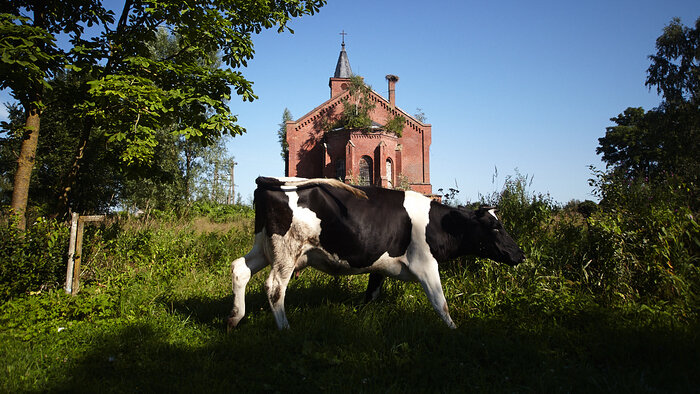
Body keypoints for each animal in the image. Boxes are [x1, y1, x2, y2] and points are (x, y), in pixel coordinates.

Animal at [230, 176, 524, 330]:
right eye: (495, 227)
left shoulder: (380, 266)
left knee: (240, 269)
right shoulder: (426, 265)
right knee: (274, 287)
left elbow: (370, 295)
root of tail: (271, 180)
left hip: (264, 247)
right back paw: (285, 329)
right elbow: (441, 303)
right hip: (286, 251)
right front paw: (455, 331)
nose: (520, 255)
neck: (436, 223)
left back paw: (234, 319)